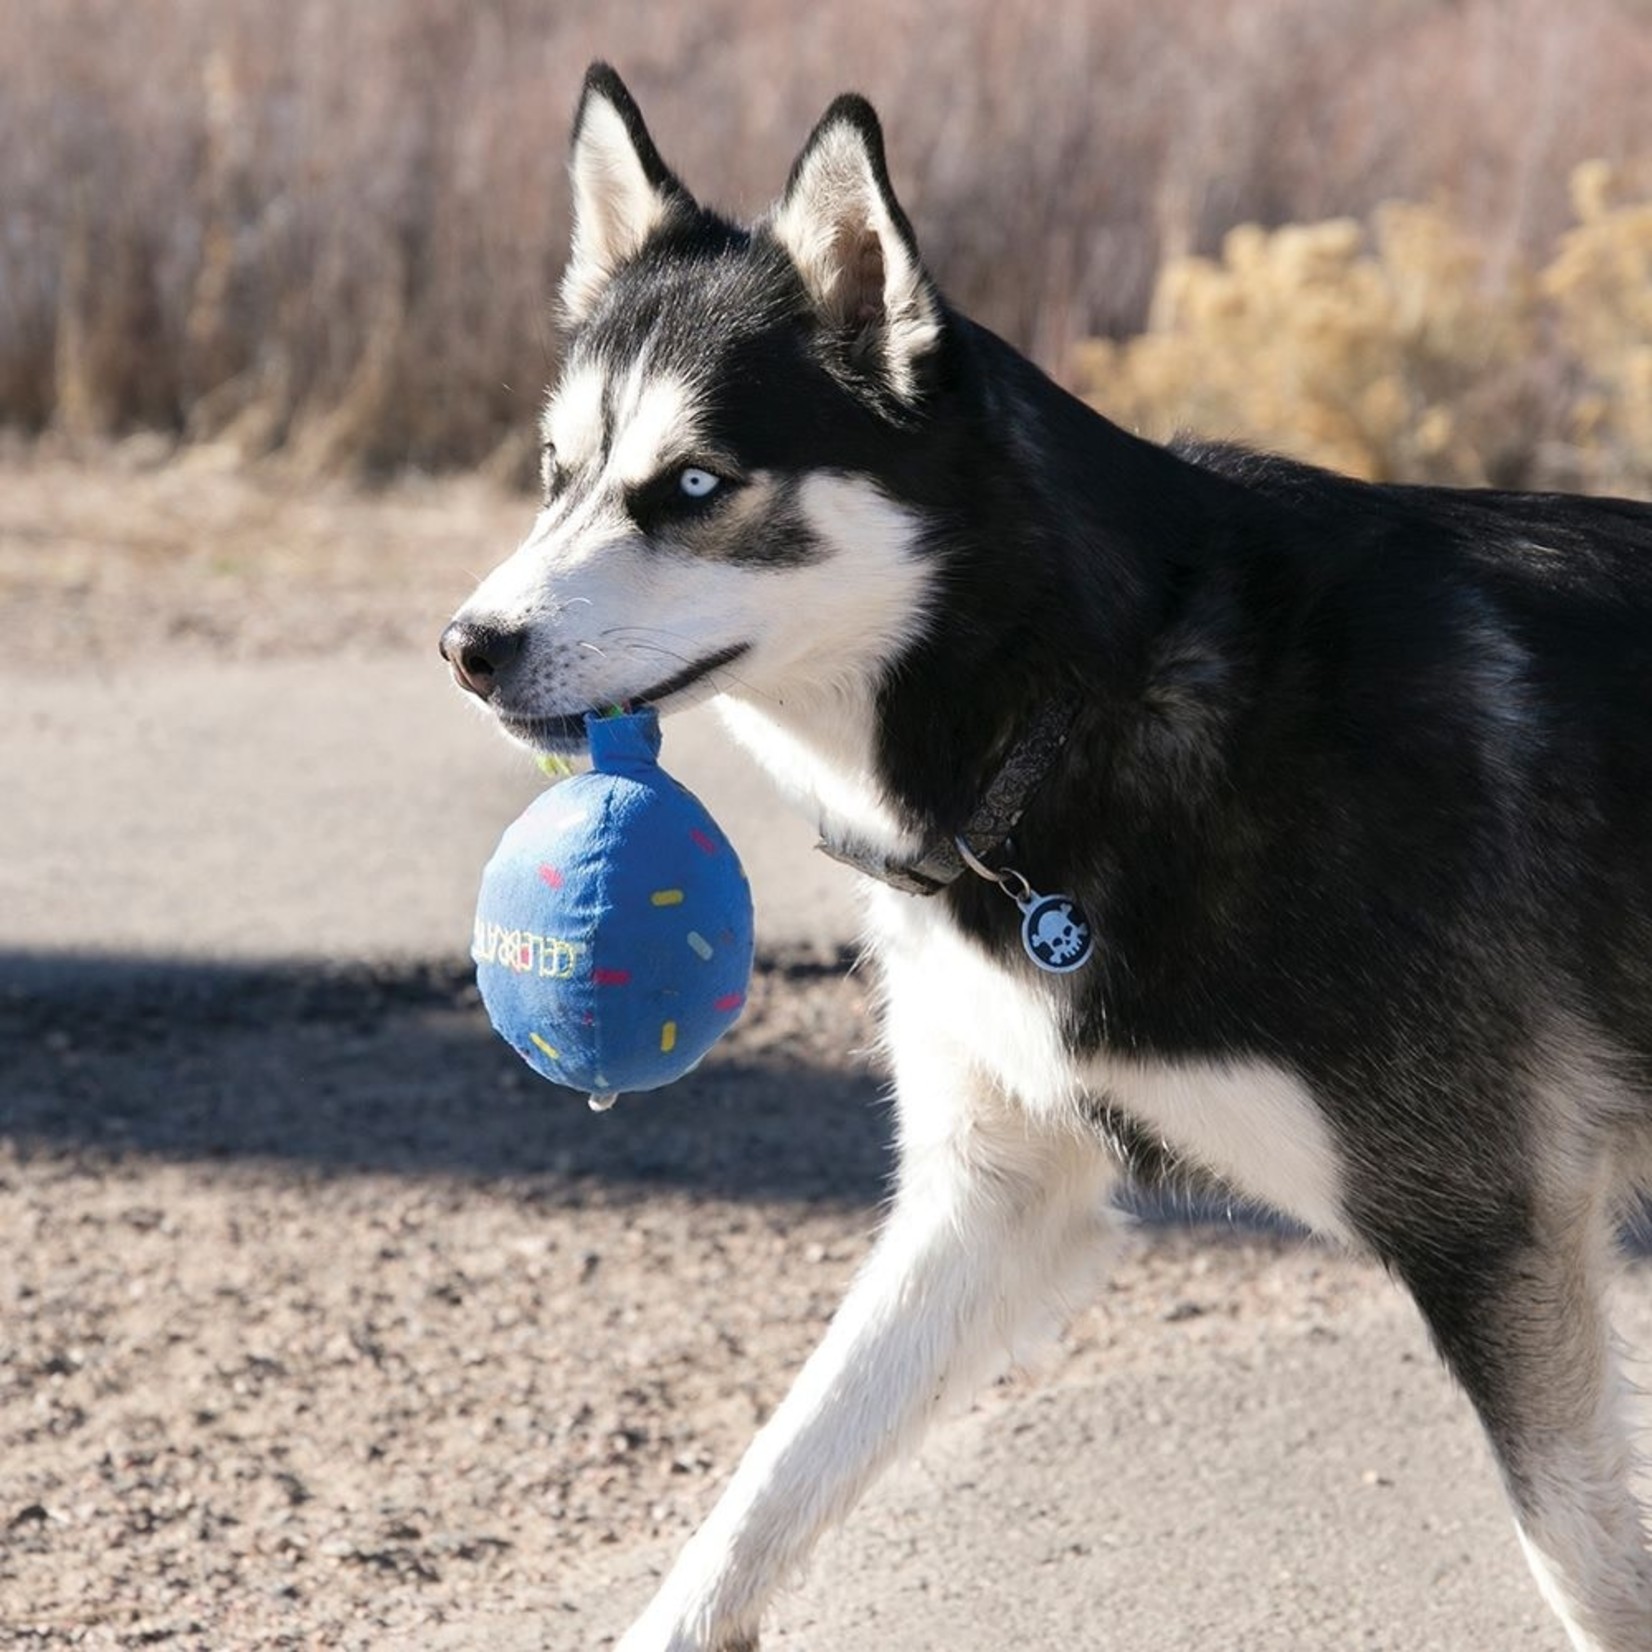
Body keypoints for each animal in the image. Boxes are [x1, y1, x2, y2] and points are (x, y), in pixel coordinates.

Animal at [442, 64, 1652, 1652]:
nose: (468, 645)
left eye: (694, 486)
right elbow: (768, 1481)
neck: (1084, 702)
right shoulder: (989, 1195)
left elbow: (1584, 1561)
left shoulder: (1487, 1223)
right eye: (556, 475)